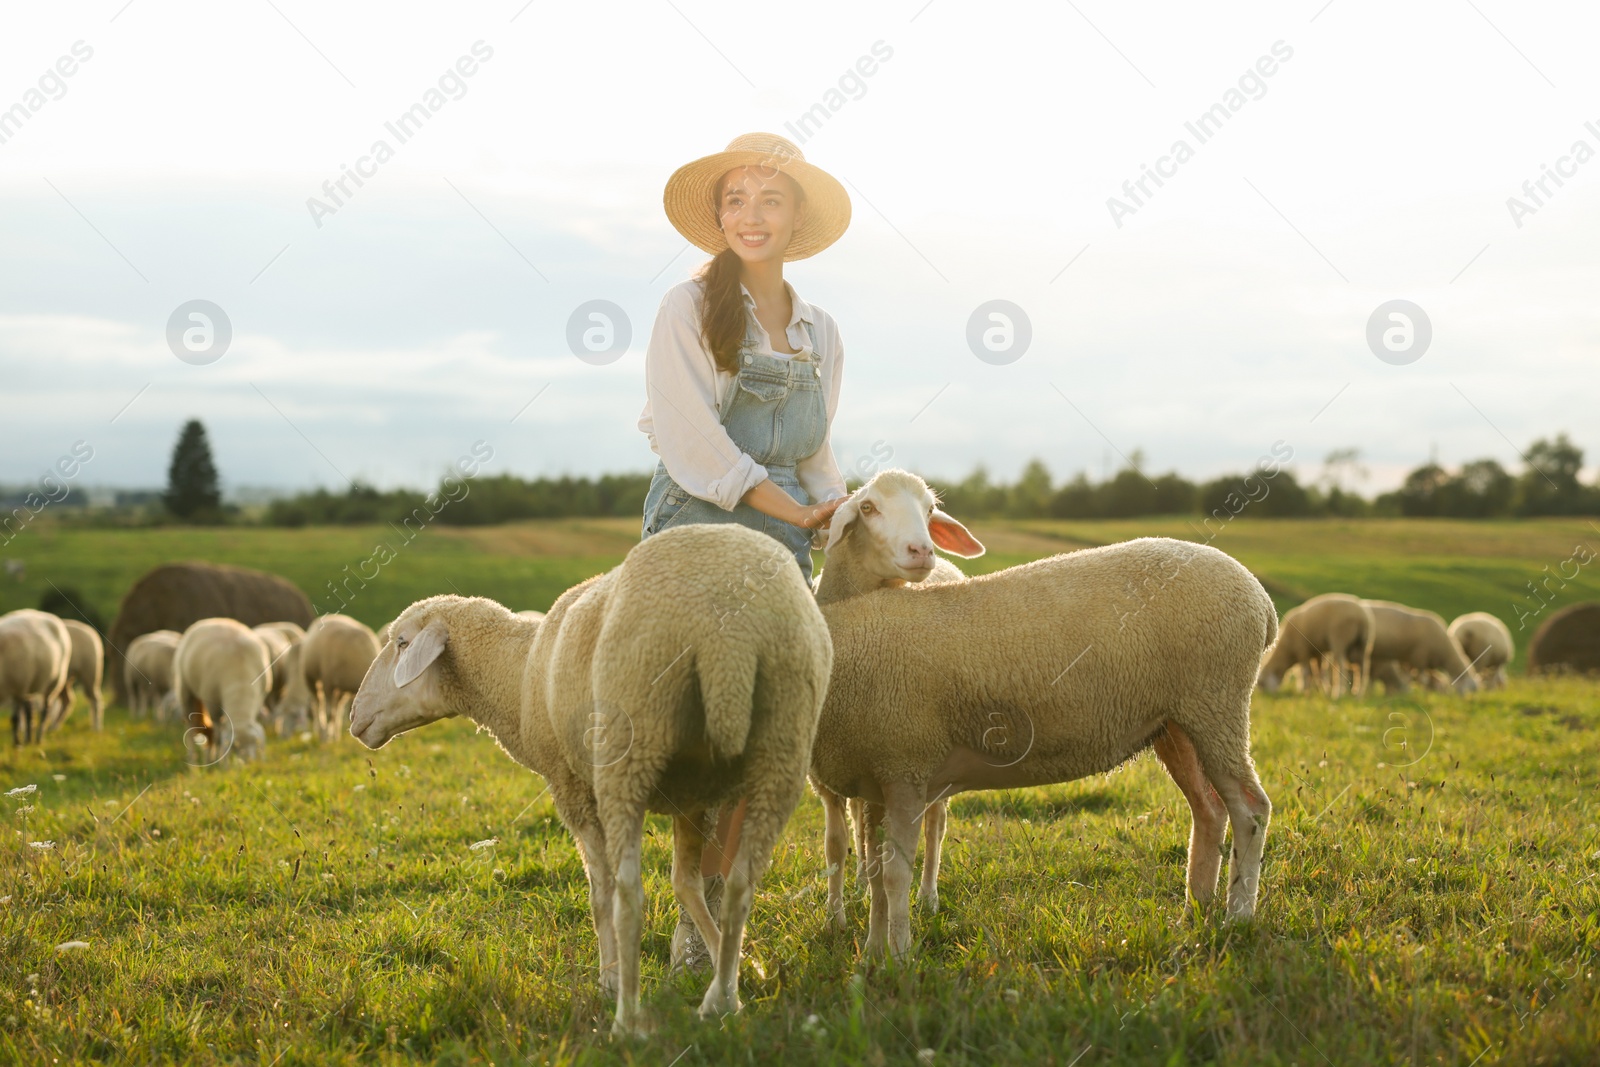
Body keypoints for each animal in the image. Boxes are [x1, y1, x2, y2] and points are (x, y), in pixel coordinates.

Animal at [0, 604, 71, 748]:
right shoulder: (20, 689)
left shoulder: (18, 688)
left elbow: (15, 719)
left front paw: (17, 744)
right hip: (30, 684)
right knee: (30, 711)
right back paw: (29, 739)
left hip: (54, 682)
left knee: (45, 710)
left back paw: (38, 739)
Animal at [173, 617, 270, 767]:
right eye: (234, 746)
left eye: (256, 743)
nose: (248, 764)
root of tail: (212, 619)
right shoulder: (212, 704)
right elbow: (218, 736)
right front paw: (219, 763)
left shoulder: (259, 698)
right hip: (185, 689)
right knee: (191, 728)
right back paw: (195, 761)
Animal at [353, 521, 838, 1036]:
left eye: (401, 643)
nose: (354, 716)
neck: (518, 676)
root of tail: (730, 633)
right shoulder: (692, 798)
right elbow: (687, 884)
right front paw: (733, 970)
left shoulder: (573, 790)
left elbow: (601, 893)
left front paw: (609, 981)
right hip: (782, 750)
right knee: (741, 885)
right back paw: (720, 1003)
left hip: (629, 753)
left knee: (629, 894)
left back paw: (626, 1018)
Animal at [812, 470, 1273, 953]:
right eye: (867, 508)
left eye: (930, 510)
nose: (922, 552)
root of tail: (1262, 600)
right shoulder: (877, 776)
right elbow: (874, 872)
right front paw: (873, 952)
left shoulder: (904, 766)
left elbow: (893, 874)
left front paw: (897, 958)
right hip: (1176, 723)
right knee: (1209, 810)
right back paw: (1194, 912)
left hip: (1217, 704)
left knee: (1250, 810)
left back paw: (1238, 917)